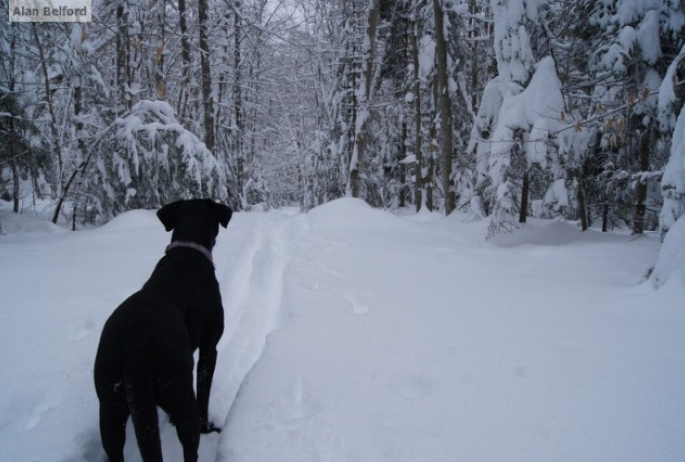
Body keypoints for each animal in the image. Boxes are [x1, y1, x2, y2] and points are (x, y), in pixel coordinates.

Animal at [93, 199, 234, 462]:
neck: (187, 250)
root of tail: (133, 343)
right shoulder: (209, 348)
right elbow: (204, 394)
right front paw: (208, 427)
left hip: (110, 405)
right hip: (178, 391)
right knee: (190, 444)